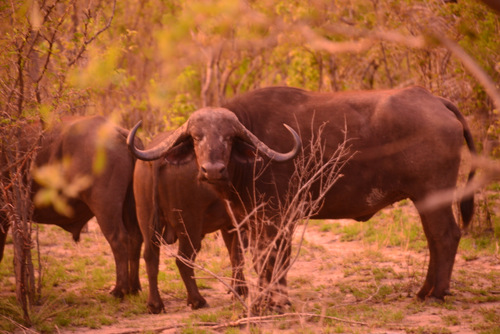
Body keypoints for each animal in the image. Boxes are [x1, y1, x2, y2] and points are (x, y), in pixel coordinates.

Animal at [1, 115, 143, 298]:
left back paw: (119, 290)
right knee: (135, 237)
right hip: (130, 205)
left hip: (105, 207)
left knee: (118, 238)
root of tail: (118, 132)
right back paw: (134, 287)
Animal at [132, 130, 256, 314]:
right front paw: (240, 291)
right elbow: (238, 255)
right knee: (183, 259)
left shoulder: (229, 226)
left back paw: (155, 304)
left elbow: (234, 255)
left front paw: (238, 289)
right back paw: (197, 300)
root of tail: (159, 158)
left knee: (150, 256)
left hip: (146, 218)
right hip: (190, 226)